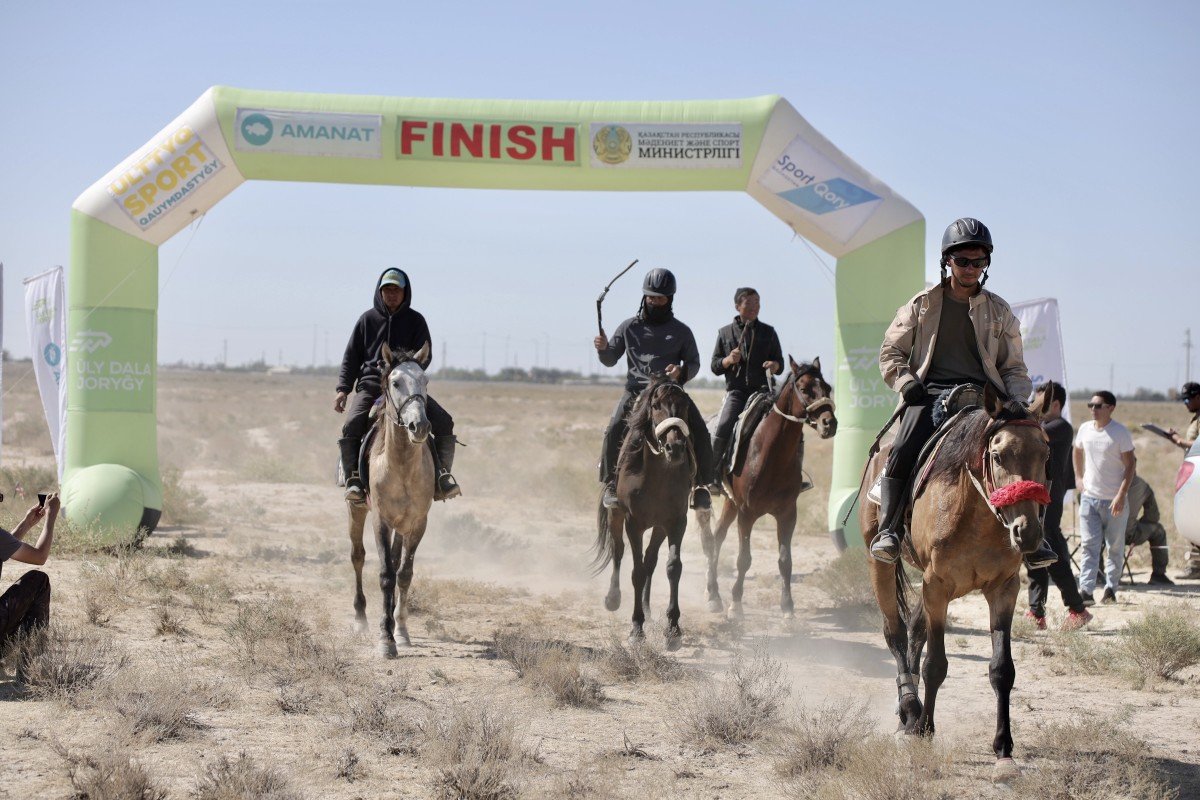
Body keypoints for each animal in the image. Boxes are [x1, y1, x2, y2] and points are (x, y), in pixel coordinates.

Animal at [348, 340, 436, 662]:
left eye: (425, 381)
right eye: (395, 382)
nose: (419, 426)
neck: (401, 465)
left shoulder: (417, 522)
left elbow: (404, 573)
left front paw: (401, 632)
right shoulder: (381, 520)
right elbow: (386, 574)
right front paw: (385, 640)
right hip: (356, 511)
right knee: (357, 556)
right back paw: (360, 619)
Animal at [590, 376, 700, 652]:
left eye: (685, 405)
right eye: (656, 405)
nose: (675, 447)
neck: (659, 475)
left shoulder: (676, 522)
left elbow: (673, 567)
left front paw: (673, 630)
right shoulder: (634, 523)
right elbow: (636, 571)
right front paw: (637, 630)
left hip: (659, 527)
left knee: (651, 559)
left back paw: (648, 608)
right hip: (616, 517)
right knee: (618, 552)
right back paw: (613, 598)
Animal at [700, 357, 840, 618]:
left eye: (827, 387)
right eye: (804, 388)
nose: (830, 423)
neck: (771, 457)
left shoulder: (787, 514)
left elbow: (785, 560)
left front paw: (787, 607)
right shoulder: (747, 514)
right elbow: (744, 559)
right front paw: (736, 604)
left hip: (730, 503)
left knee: (718, 535)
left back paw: (712, 592)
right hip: (734, 505)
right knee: (717, 539)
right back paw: (714, 596)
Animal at [864, 383, 1051, 786]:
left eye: (1046, 453)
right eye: (997, 455)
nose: (1027, 533)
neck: (976, 515)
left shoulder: (1004, 589)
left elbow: (1002, 669)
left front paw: (1003, 752)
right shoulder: (938, 585)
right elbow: (936, 664)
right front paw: (925, 731)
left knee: (914, 630)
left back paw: (908, 716)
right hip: (881, 565)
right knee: (895, 632)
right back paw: (909, 709)